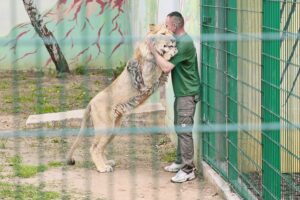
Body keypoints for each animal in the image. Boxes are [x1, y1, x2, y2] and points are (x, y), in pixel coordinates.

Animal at [66, 24, 178, 172]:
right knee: (94, 148)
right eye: (163, 33)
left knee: (100, 147)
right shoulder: (147, 78)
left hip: (114, 128)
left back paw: (107, 163)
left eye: (171, 33)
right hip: (106, 126)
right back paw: (102, 168)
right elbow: (163, 60)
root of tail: (91, 101)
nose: (174, 40)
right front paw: (171, 51)